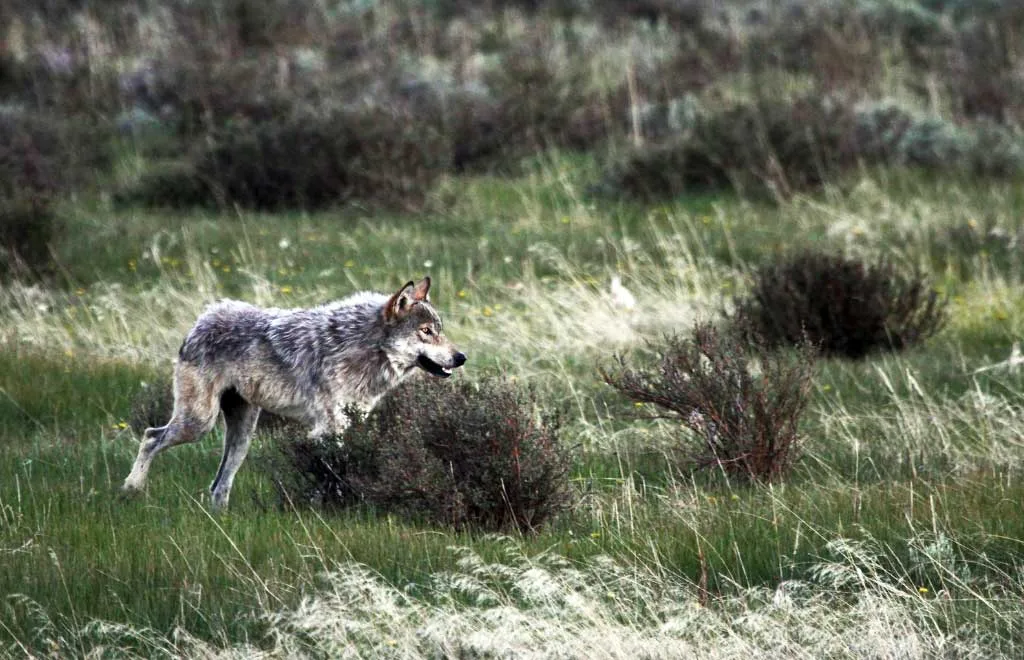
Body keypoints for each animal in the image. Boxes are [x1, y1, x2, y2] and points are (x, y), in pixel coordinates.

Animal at [122, 276, 466, 509]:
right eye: (426, 332)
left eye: (440, 330)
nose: (461, 357)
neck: (364, 348)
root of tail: (204, 316)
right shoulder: (329, 428)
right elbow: (331, 472)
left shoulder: (351, 423)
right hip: (199, 423)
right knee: (151, 436)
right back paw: (131, 488)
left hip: (242, 435)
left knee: (218, 484)